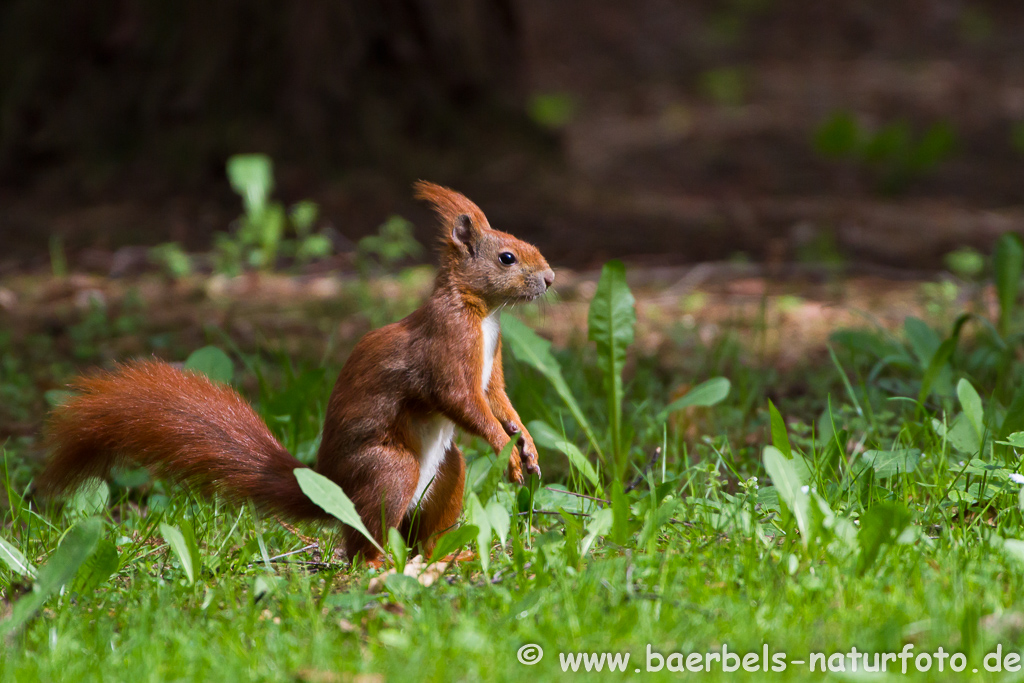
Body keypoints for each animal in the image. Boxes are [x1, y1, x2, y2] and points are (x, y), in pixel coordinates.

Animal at [39, 181, 557, 561]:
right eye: (506, 257)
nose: (551, 278)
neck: (483, 313)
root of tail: (332, 486)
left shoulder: (492, 363)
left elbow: (499, 398)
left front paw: (525, 443)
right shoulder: (447, 346)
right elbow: (461, 399)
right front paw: (505, 448)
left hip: (444, 473)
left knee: (422, 527)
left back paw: (445, 556)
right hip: (389, 469)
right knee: (362, 542)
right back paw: (381, 565)